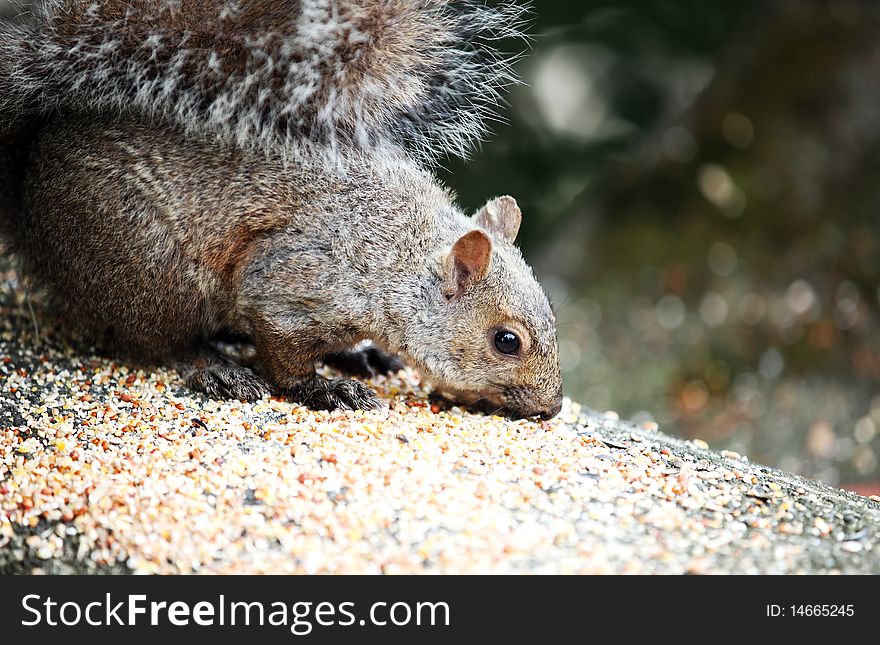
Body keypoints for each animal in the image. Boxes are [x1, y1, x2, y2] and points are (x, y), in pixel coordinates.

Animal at [0, 0, 564, 420]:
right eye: (506, 341)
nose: (553, 408)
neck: (400, 254)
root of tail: (27, 183)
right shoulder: (292, 282)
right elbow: (283, 354)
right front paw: (322, 389)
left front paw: (356, 356)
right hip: (153, 270)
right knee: (159, 342)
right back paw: (218, 367)